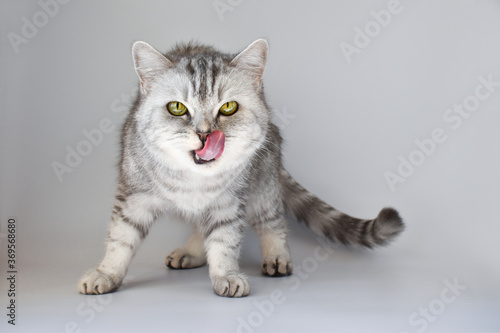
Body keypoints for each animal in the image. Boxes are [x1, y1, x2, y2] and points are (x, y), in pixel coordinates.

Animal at [79, 38, 406, 296]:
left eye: (228, 108)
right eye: (177, 108)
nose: (205, 134)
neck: (194, 180)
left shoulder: (229, 203)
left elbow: (224, 242)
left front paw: (226, 275)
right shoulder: (133, 198)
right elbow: (120, 241)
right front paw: (106, 274)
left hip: (263, 189)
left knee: (273, 223)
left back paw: (277, 258)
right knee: (200, 227)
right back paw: (190, 253)